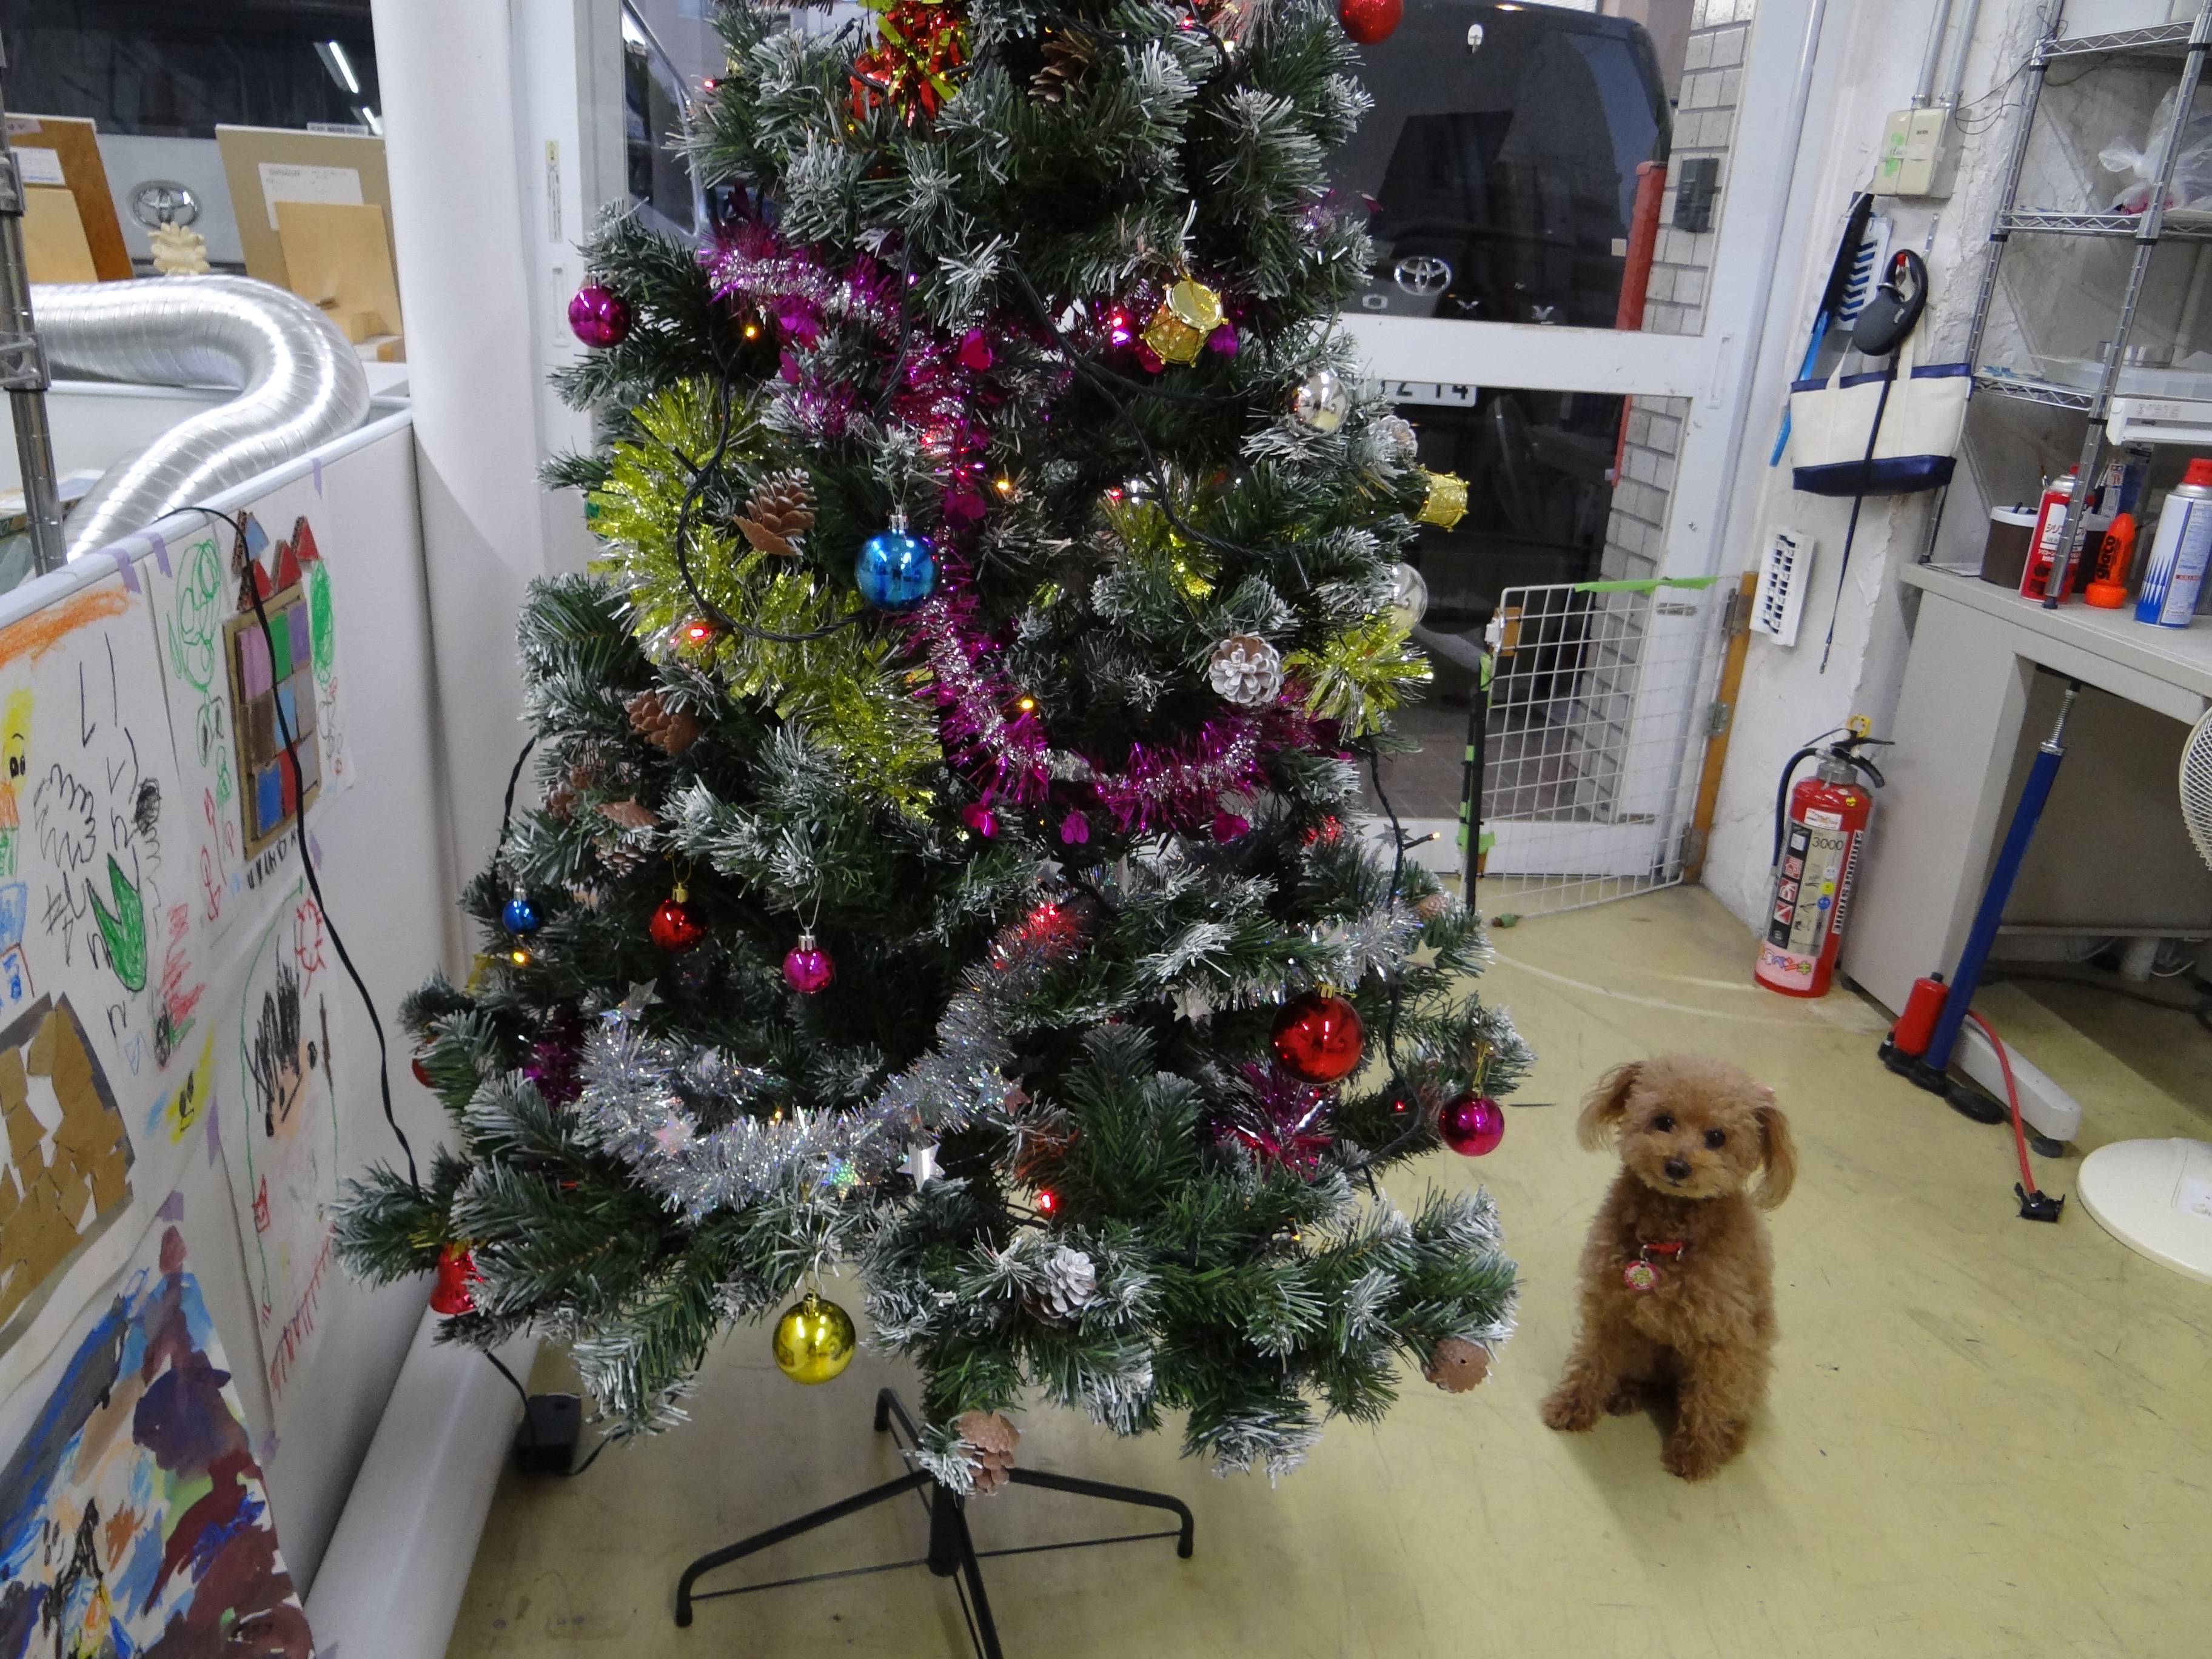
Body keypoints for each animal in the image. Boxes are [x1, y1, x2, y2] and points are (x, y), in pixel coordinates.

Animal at [1540, 1054, 1795, 1480]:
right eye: (1663, 1121)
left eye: (1716, 1137)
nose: (1677, 1166)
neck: (1667, 1237)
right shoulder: (1610, 1310)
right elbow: (1592, 1363)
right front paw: (1572, 1407)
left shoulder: (1722, 1340)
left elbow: (1710, 1399)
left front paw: (1695, 1456)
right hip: (1644, 1347)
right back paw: (1626, 1394)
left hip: (1749, 1366)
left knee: (1733, 1404)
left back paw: (1728, 1439)